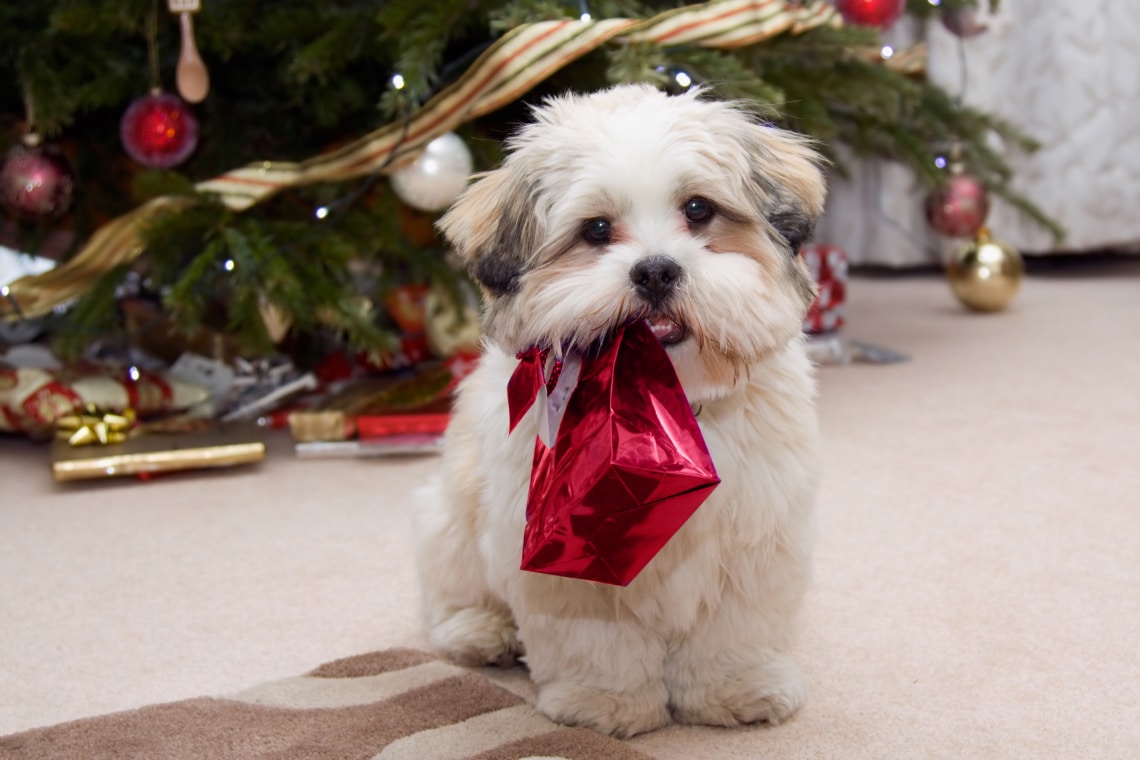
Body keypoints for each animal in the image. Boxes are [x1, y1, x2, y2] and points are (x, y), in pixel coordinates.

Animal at [414, 83, 825, 738]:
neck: (663, 407)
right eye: (597, 229)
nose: (655, 269)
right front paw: (605, 701)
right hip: (448, 516)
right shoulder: (563, 555)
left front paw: (734, 689)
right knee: (451, 590)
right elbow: (596, 641)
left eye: (699, 209)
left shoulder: (756, 540)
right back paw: (480, 630)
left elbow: (734, 632)